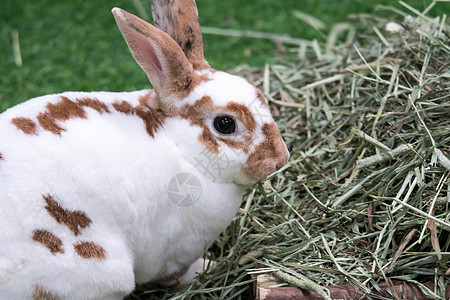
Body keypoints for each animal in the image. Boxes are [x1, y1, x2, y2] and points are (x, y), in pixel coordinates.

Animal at [0, 1, 290, 298]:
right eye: (225, 123)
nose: (280, 158)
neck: (181, 148)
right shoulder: (170, 253)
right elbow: (177, 273)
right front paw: (207, 266)